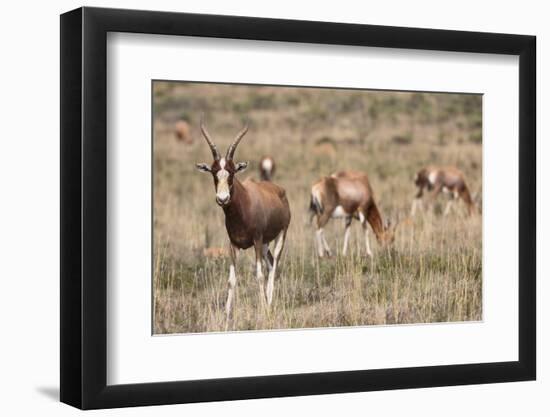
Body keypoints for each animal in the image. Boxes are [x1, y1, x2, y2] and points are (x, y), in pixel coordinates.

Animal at [197, 118, 294, 318]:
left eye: (232, 172)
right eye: (214, 172)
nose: (222, 199)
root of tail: (279, 190)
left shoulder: (256, 240)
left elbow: (259, 275)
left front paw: (263, 310)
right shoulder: (233, 245)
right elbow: (231, 280)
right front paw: (227, 314)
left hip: (279, 235)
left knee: (274, 266)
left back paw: (269, 304)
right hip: (265, 243)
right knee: (270, 264)